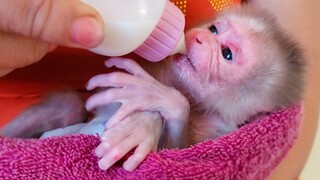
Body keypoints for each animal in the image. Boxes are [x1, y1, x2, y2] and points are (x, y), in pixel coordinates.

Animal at [0, 5, 304, 172]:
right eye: (215, 30)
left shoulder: (215, 131)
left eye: (227, 54)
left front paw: (154, 110)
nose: (199, 37)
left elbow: (178, 157)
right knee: (68, 105)